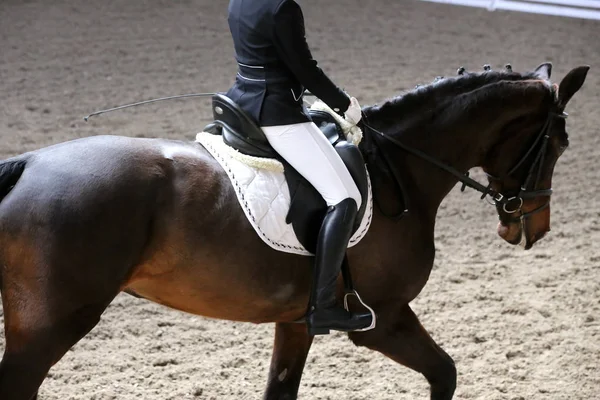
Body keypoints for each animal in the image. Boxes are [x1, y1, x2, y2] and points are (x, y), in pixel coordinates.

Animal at [0, 62, 592, 400]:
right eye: (559, 144)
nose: (531, 227)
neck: (402, 167)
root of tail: (29, 162)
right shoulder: (383, 319)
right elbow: (444, 374)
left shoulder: (297, 322)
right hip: (48, 328)